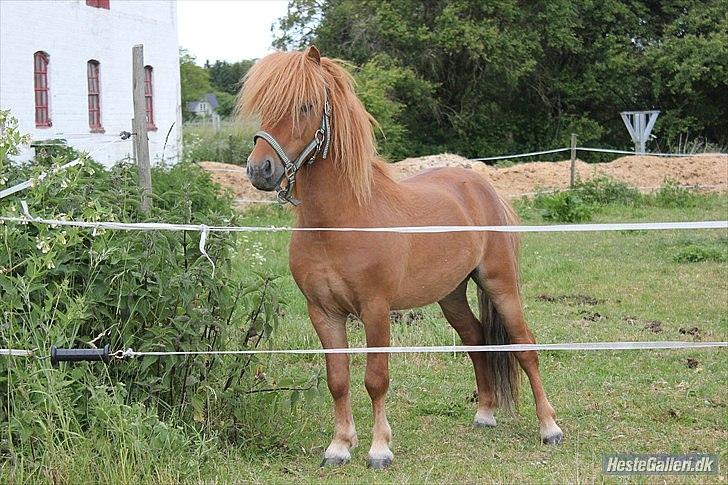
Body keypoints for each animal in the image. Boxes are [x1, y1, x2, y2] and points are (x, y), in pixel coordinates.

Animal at [238, 46, 563, 469]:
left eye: (305, 106)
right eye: (265, 106)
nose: (260, 170)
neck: (343, 221)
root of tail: (481, 186)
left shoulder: (375, 309)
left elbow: (376, 379)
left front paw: (379, 450)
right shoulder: (323, 312)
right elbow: (338, 379)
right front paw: (339, 446)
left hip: (500, 283)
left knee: (524, 346)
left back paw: (549, 427)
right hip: (451, 294)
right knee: (476, 339)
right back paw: (485, 414)